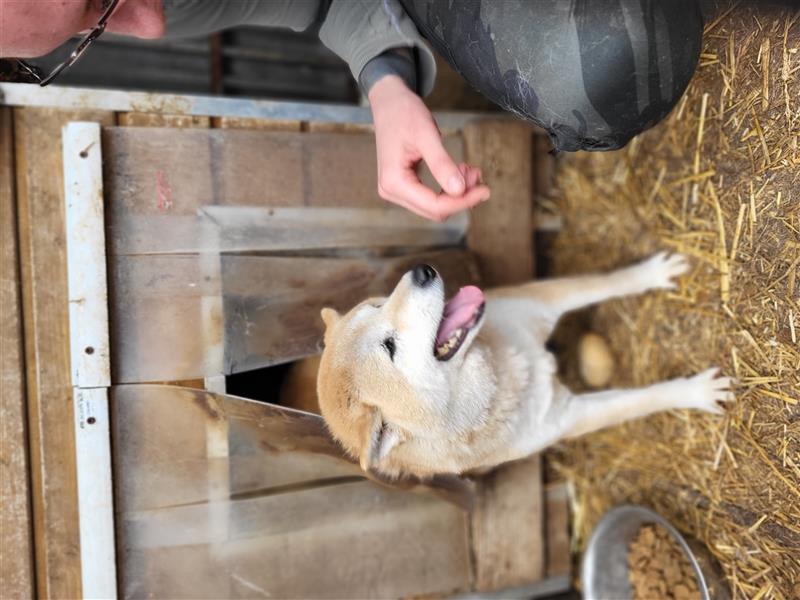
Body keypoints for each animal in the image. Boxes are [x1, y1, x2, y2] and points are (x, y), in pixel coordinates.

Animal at [318, 253, 732, 478]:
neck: (503, 370)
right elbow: (646, 399)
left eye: (377, 304)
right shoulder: (571, 417)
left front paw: (649, 274)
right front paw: (696, 391)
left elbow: (606, 282)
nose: (420, 271)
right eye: (389, 347)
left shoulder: (544, 299)